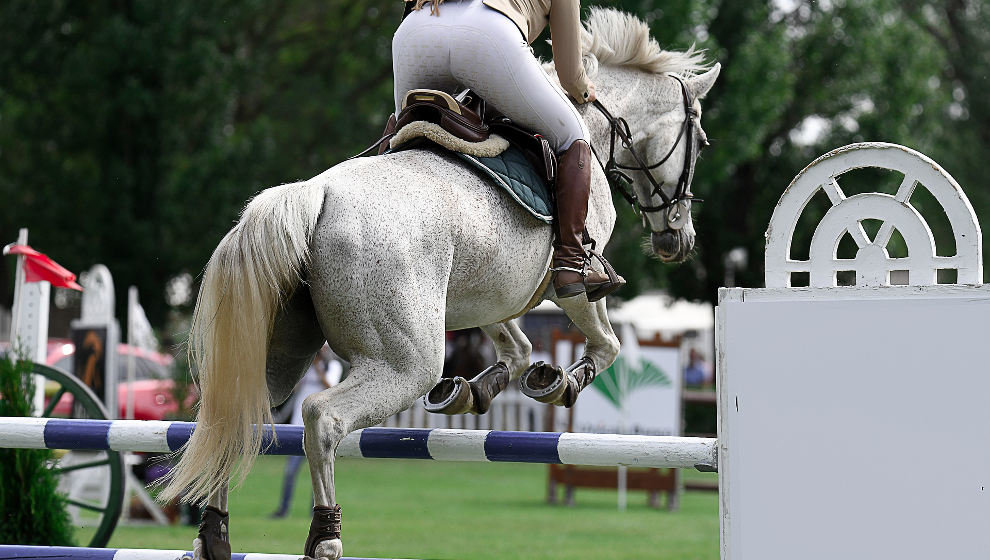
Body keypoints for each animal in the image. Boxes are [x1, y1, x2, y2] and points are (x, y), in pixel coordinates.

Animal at [161, 8, 720, 560]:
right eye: (700, 141)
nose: (679, 239)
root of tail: (314, 193)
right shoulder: (575, 281)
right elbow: (605, 345)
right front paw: (558, 381)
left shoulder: (492, 295)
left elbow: (516, 347)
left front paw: (471, 390)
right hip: (403, 363)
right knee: (321, 417)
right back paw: (325, 535)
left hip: (278, 350)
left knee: (237, 412)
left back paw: (214, 535)